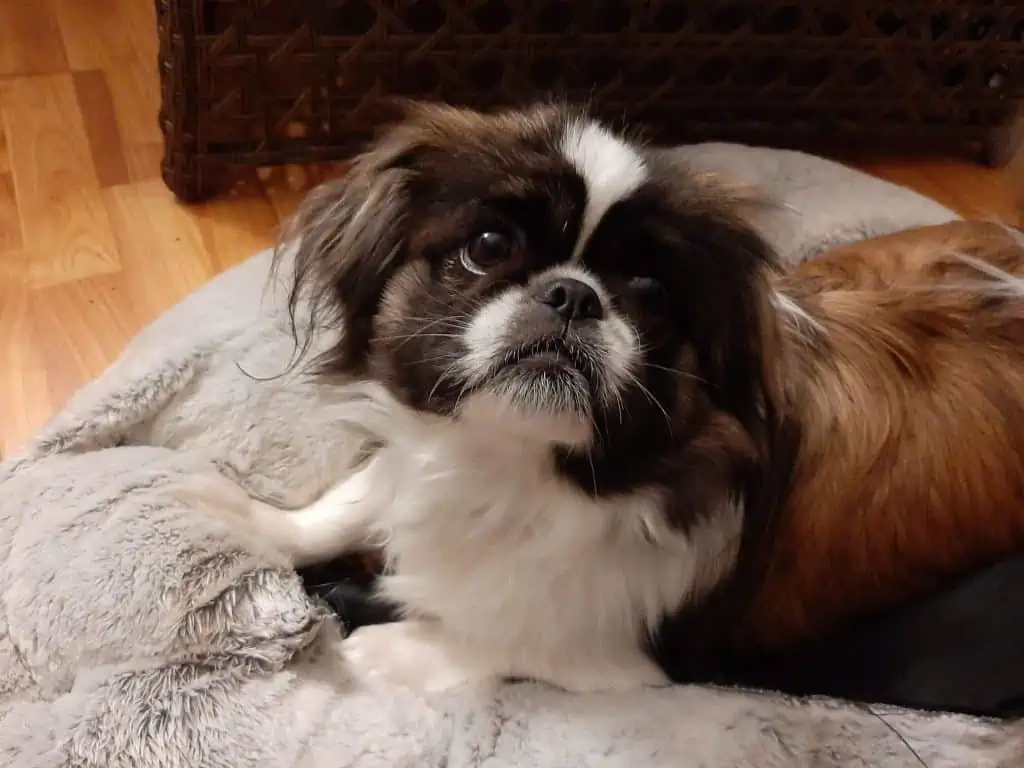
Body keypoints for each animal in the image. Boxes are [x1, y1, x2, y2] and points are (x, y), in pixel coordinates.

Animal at [220, 100, 1024, 696]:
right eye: (488, 246)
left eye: (650, 292)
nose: (572, 295)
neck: (513, 468)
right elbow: (349, 503)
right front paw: (244, 520)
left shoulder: (621, 656)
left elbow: (486, 638)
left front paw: (367, 648)